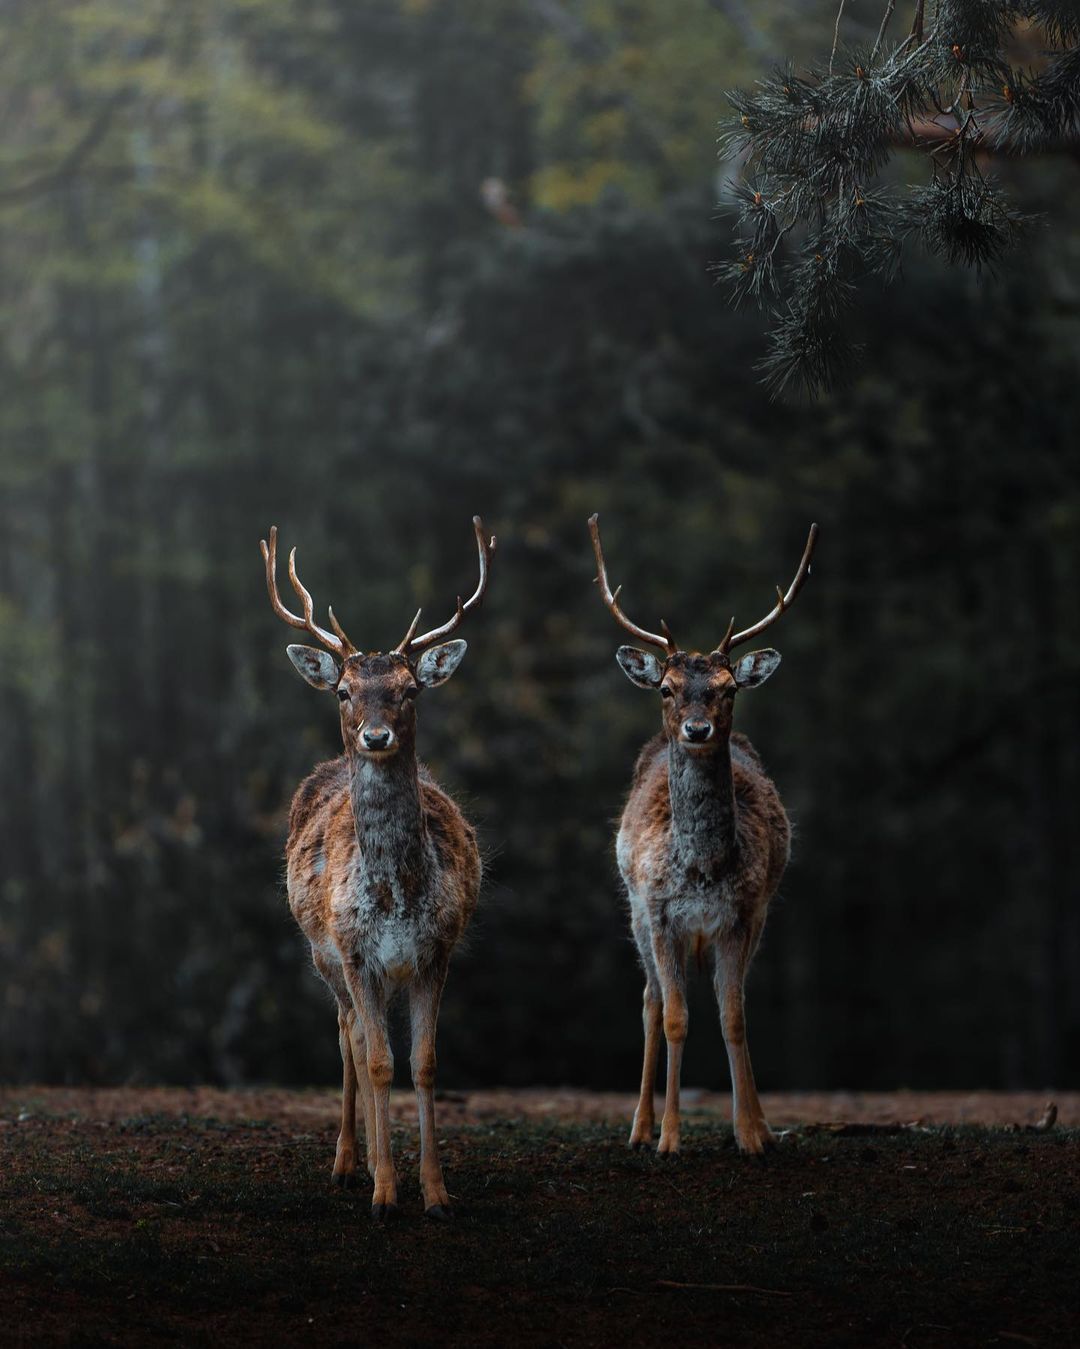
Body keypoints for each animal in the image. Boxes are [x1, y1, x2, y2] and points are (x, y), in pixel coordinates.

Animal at [258, 509, 496, 1219]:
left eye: (410, 688)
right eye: (342, 690)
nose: (376, 736)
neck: (394, 896)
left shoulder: (434, 950)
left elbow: (423, 1063)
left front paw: (437, 1193)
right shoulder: (355, 951)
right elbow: (379, 1062)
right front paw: (387, 1194)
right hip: (324, 957)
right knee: (350, 1042)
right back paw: (349, 1163)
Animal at [590, 509, 819, 1154]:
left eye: (728, 688)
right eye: (667, 688)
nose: (696, 728)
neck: (700, 869)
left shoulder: (743, 913)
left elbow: (732, 1014)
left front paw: (754, 1134)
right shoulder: (660, 910)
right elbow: (674, 1017)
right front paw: (668, 1138)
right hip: (635, 914)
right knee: (648, 1001)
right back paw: (639, 1127)